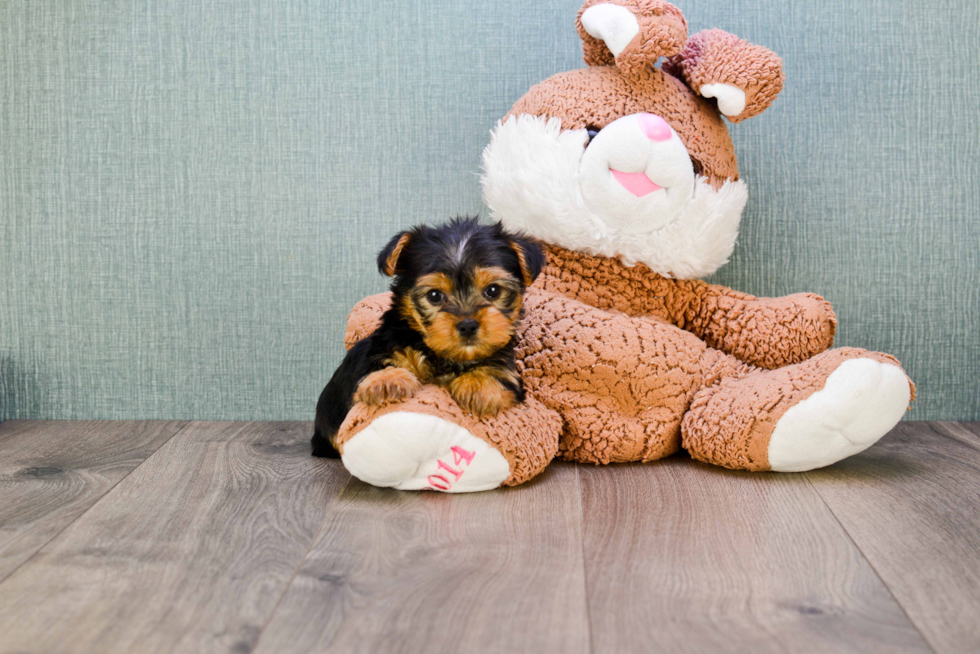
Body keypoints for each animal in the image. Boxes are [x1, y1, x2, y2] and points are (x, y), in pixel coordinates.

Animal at [312, 218, 544, 458]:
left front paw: (479, 384)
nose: (468, 325)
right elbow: (374, 366)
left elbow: (500, 371)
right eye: (434, 295)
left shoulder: (506, 363)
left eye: (493, 290)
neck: (444, 357)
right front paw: (386, 380)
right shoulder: (384, 348)